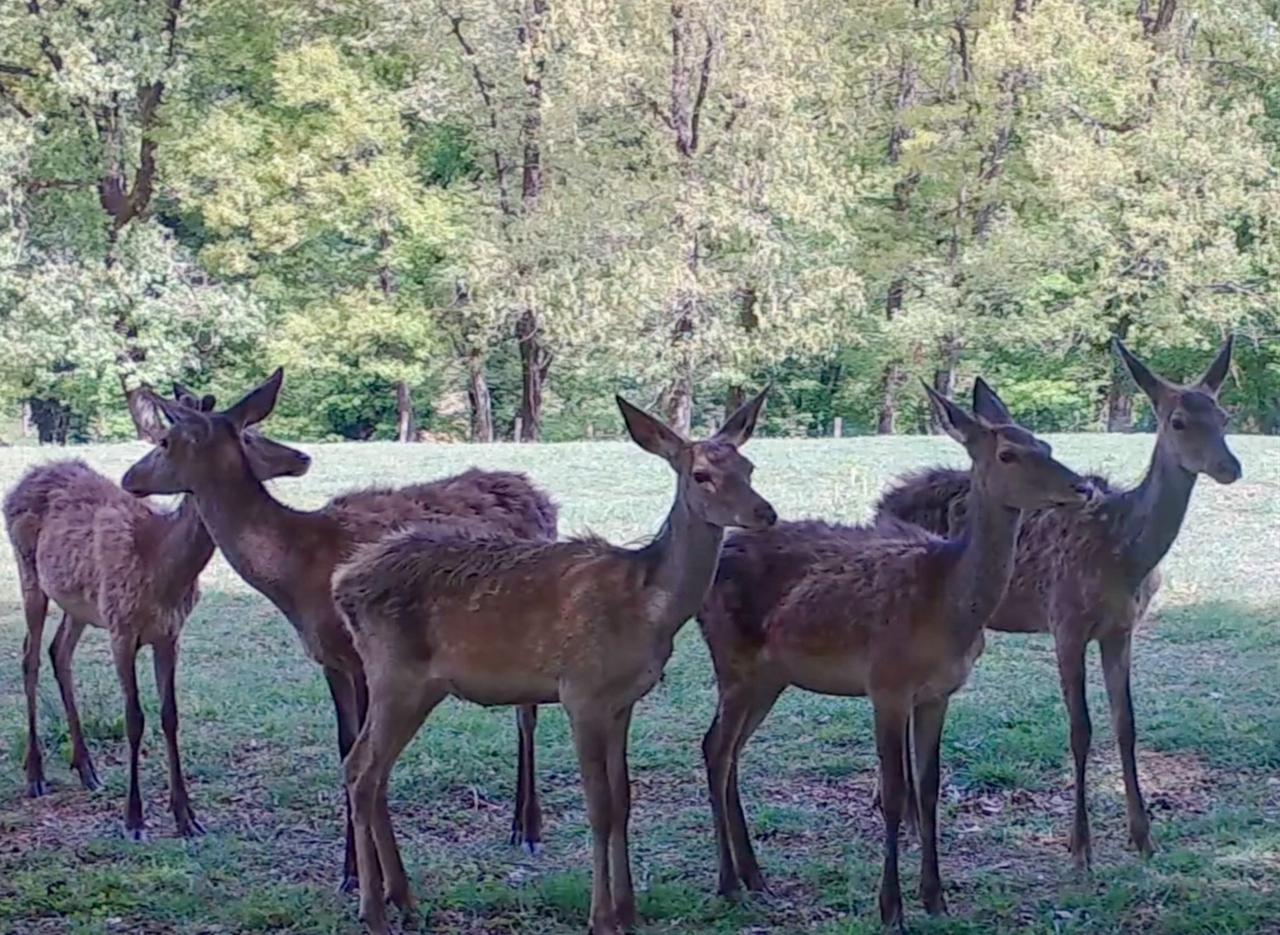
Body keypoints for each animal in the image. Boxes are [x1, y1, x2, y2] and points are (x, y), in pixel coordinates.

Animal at [6, 385, 312, 839]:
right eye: (249, 436)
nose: (303, 456)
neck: (161, 566)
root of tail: (22, 480)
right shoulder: (121, 628)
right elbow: (134, 718)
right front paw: (134, 818)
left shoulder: (169, 632)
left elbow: (170, 716)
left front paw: (186, 816)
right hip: (29, 572)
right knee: (29, 656)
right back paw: (36, 774)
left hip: (79, 604)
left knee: (59, 652)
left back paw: (86, 768)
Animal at [119, 369, 557, 889]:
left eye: (165, 440)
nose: (128, 478)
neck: (298, 570)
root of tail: (545, 500)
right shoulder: (331, 659)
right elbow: (346, 746)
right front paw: (349, 872)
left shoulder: (367, 656)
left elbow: (369, 760)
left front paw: (372, 877)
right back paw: (515, 824)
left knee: (528, 713)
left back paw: (530, 829)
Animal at [331, 389, 777, 935]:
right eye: (701, 474)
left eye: (749, 466)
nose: (766, 513)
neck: (647, 606)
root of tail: (344, 585)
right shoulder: (580, 691)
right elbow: (600, 805)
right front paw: (601, 918)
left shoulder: (624, 700)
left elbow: (623, 800)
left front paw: (629, 912)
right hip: (396, 676)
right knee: (361, 769)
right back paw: (373, 910)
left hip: (412, 686)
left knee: (373, 773)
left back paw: (404, 900)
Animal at [697, 379, 1094, 931]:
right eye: (1009, 454)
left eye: (1047, 444)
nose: (1083, 488)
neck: (946, 606)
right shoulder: (885, 684)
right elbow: (893, 792)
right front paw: (891, 908)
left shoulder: (938, 693)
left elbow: (927, 787)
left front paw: (935, 897)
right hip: (732, 659)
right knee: (715, 747)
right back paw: (729, 883)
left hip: (768, 677)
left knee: (731, 750)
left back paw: (755, 875)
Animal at [874, 338, 1241, 871]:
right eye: (1177, 420)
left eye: (1224, 415)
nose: (1230, 467)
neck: (1124, 553)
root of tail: (879, 503)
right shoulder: (1065, 621)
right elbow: (1080, 728)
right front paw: (1080, 847)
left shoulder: (1122, 630)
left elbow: (1126, 723)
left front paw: (1143, 836)